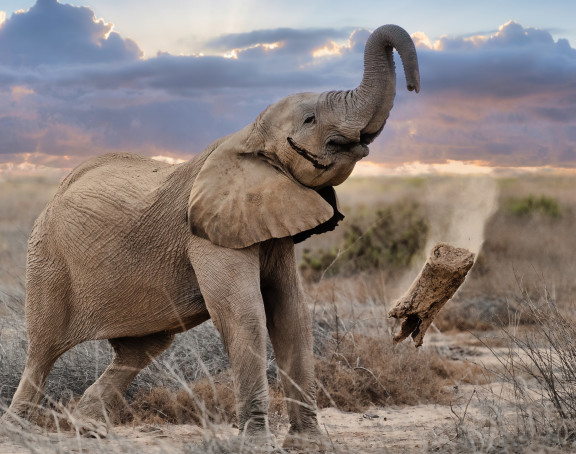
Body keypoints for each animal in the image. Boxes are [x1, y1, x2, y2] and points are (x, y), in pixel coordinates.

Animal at [2, 24, 420, 450]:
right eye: (310, 119)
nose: (415, 86)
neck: (249, 137)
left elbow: (291, 313)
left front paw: (308, 445)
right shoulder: (206, 235)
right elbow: (245, 315)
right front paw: (256, 446)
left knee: (140, 350)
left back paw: (88, 429)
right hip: (48, 259)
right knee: (43, 349)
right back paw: (19, 430)